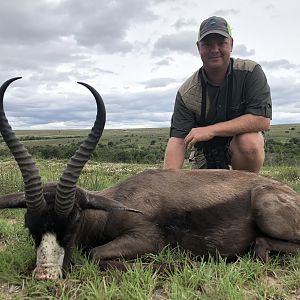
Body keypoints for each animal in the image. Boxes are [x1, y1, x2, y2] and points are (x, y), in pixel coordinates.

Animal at [1, 77, 300, 278]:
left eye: (74, 220)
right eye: (29, 224)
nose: (46, 275)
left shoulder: (146, 239)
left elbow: (94, 254)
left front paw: (173, 265)